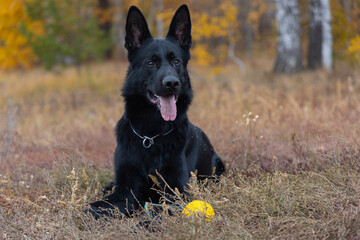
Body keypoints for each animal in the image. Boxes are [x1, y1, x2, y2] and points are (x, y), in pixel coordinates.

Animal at [88, 3, 222, 218]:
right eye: (150, 62)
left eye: (176, 61)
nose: (172, 83)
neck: (150, 136)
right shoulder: (124, 190)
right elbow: (92, 207)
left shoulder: (176, 193)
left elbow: (158, 216)